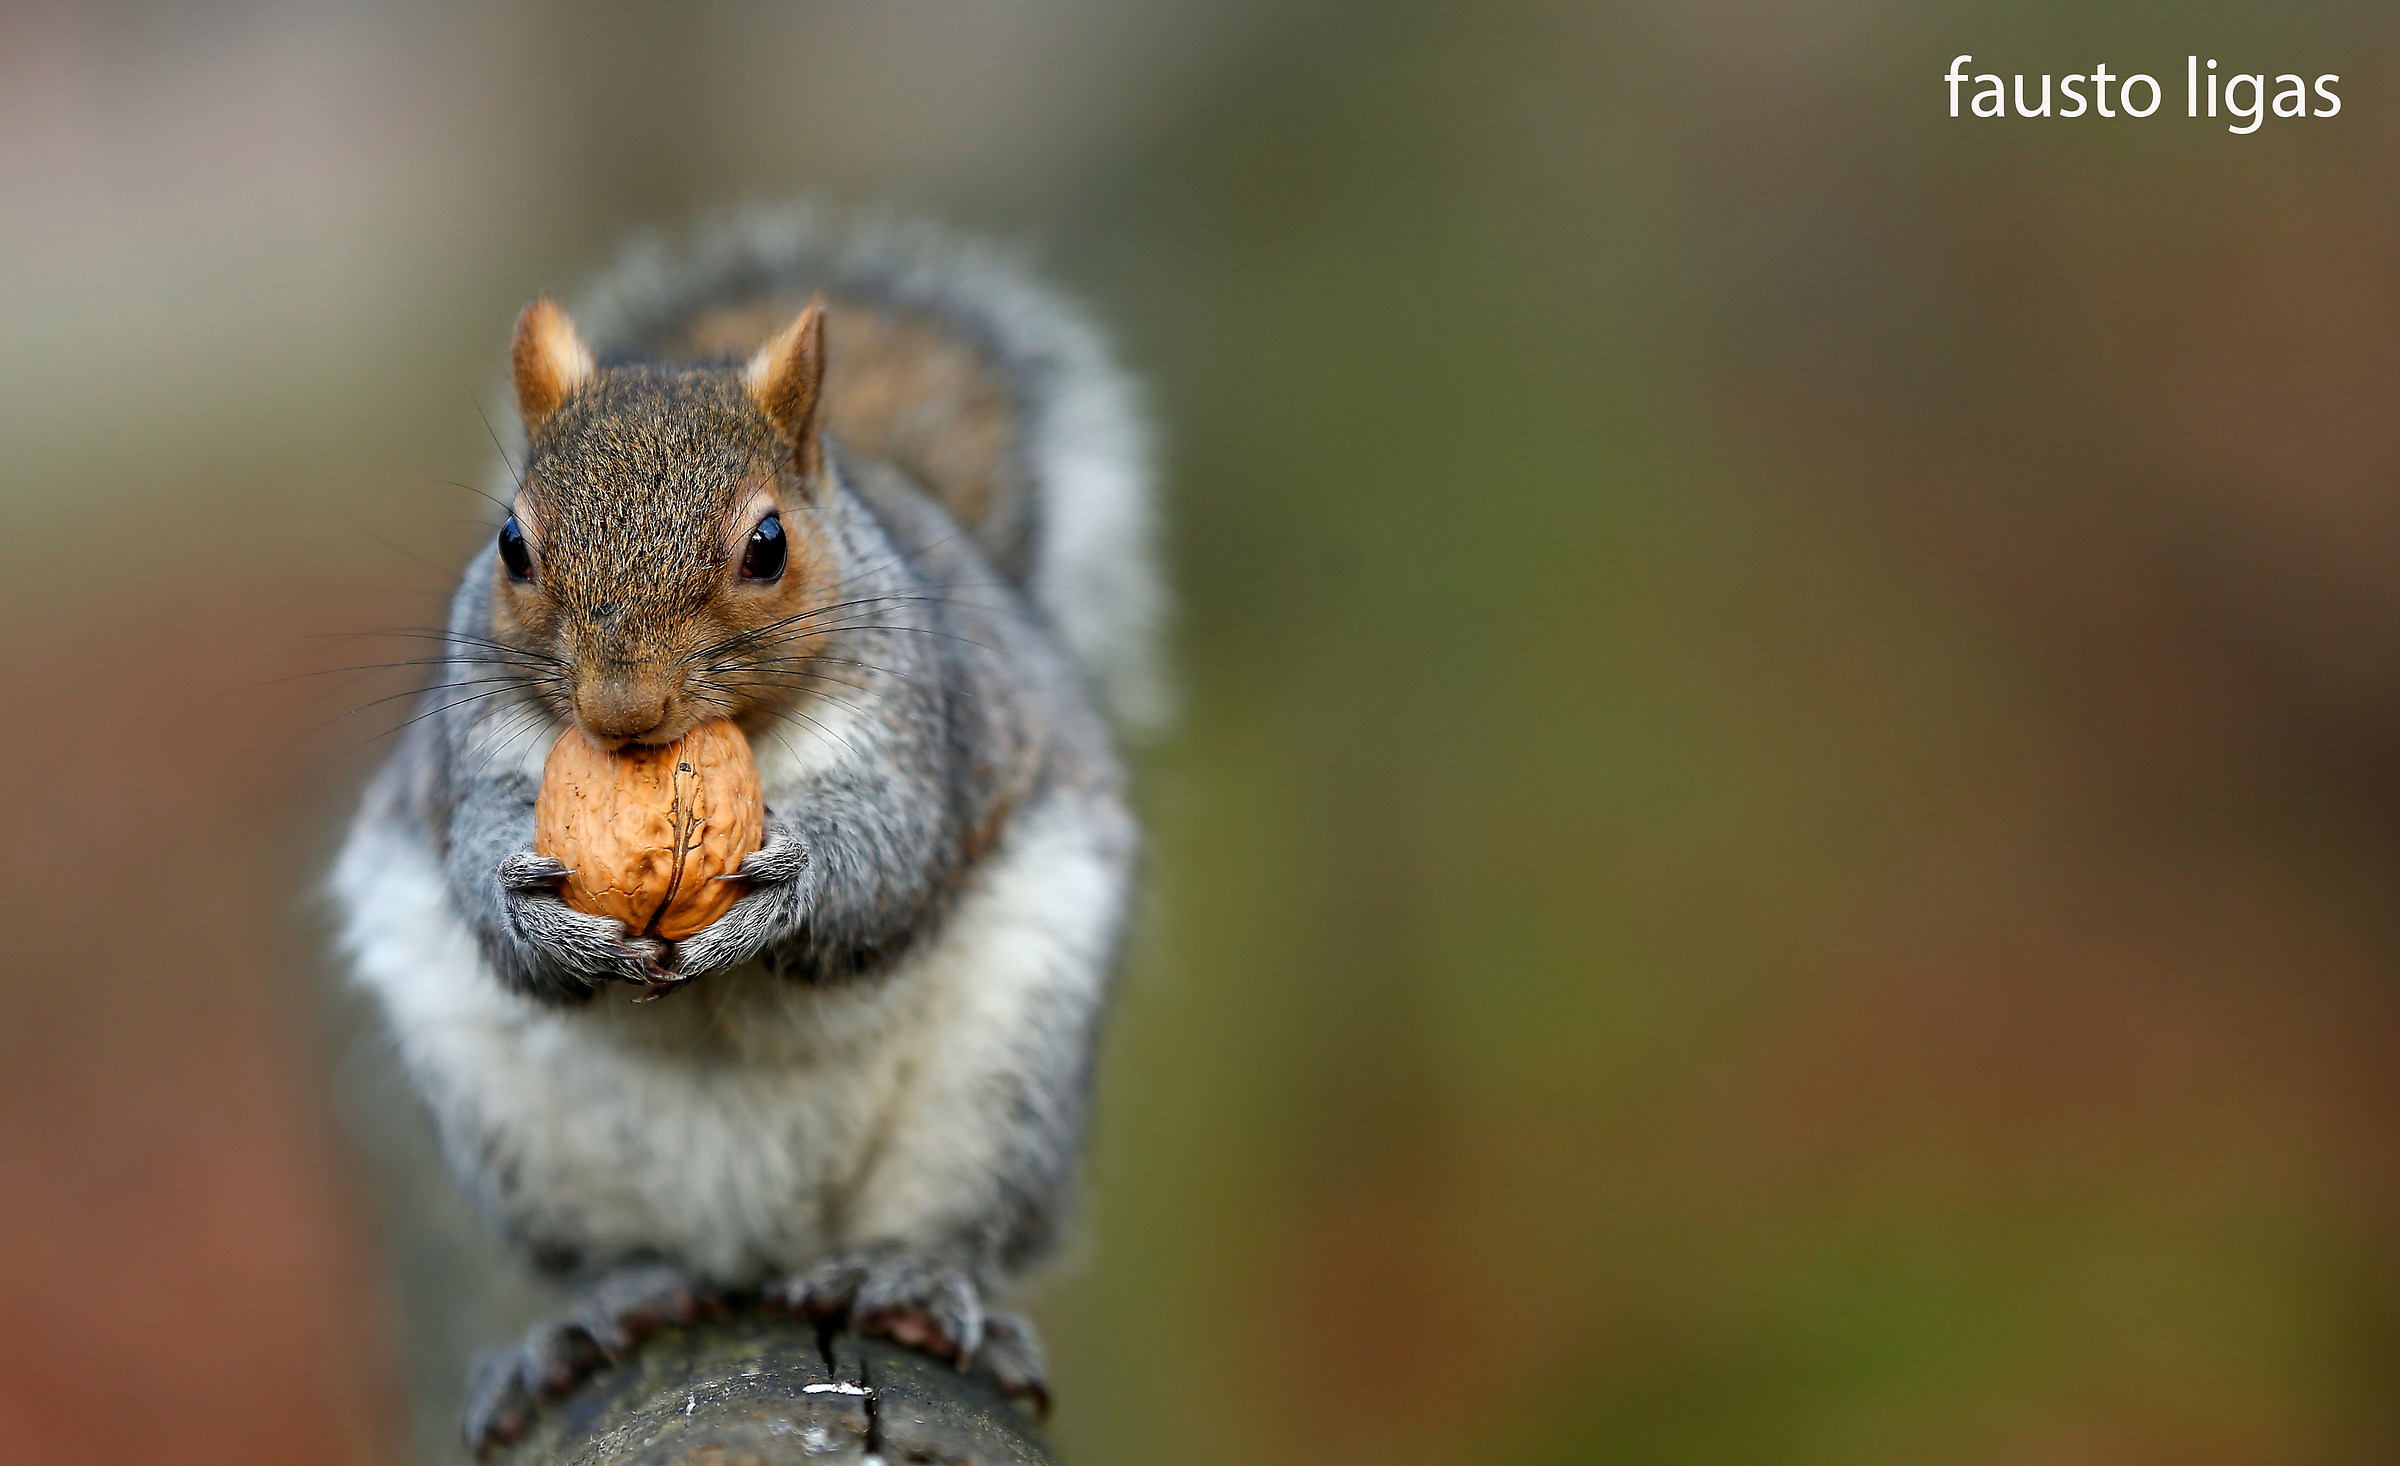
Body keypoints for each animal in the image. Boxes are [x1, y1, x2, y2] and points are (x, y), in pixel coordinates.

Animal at [330, 206, 1161, 1452]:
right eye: (513, 546)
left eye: (767, 545)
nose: (621, 709)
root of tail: (758, 1244)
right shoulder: (468, 749)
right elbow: (475, 859)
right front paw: (540, 918)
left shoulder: (923, 727)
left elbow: (890, 856)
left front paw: (782, 894)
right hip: (508, 1122)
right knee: (621, 1252)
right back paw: (596, 1312)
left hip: (1005, 1075)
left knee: (952, 1225)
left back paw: (906, 1283)